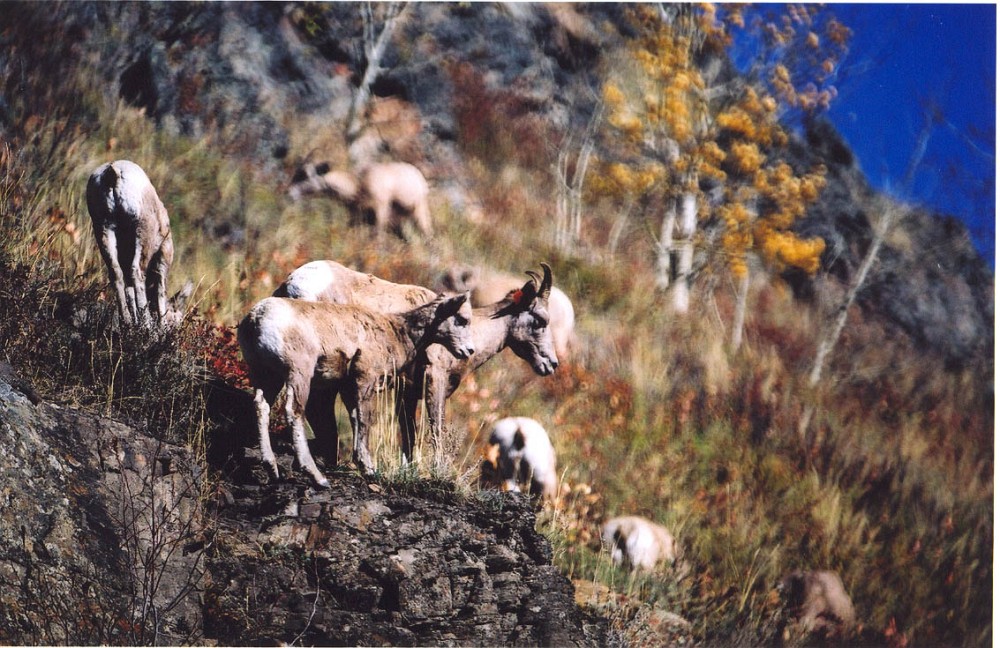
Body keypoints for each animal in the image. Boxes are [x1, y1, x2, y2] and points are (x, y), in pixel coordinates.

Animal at [86, 160, 174, 327]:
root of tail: (113, 172)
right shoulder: (162, 258)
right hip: (142, 235)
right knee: (137, 272)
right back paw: (146, 324)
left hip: (105, 230)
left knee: (116, 274)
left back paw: (126, 321)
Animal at [237, 292, 474, 486]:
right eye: (461, 319)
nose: (469, 351)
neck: (396, 332)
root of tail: (257, 318)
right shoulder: (364, 380)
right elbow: (365, 420)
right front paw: (368, 469)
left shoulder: (348, 389)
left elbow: (356, 420)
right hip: (298, 373)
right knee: (293, 411)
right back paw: (317, 477)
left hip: (266, 375)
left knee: (261, 407)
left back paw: (272, 469)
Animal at [272, 260, 559, 463]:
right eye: (539, 320)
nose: (551, 364)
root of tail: (294, 285)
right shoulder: (435, 380)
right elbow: (435, 430)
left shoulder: (406, 392)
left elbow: (408, 436)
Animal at [288, 161, 432, 238]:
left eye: (305, 175)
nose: (290, 194)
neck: (357, 183)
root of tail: (419, 177)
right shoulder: (356, 216)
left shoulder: (380, 211)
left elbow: (378, 238)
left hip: (419, 211)